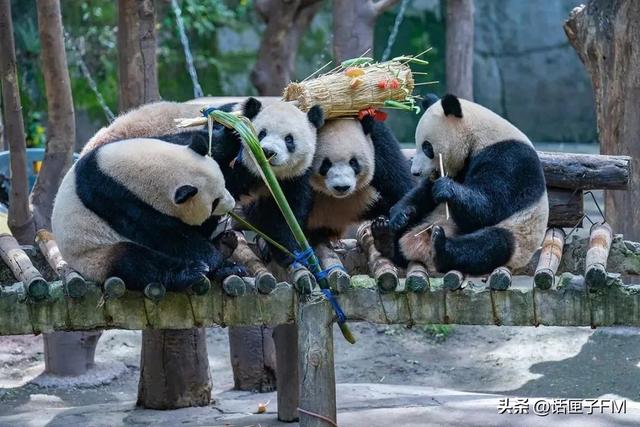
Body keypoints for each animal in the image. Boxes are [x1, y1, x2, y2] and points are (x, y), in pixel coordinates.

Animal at [51, 137, 242, 290]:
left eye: (224, 185)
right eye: (215, 201)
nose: (232, 203)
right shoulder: (112, 197)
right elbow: (168, 235)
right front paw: (220, 263)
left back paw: (225, 243)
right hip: (94, 256)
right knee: (134, 261)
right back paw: (193, 271)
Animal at [306, 115, 416, 249]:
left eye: (353, 162)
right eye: (325, 164)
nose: (342, 187)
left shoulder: (378, 144)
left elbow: (398, 181)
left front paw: (400, 218)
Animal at [376, 94, 552, 276]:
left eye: (426, 147)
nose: (415, 172)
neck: (478, 135)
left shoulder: (509, 159)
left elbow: (489, 208)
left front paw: (445, 188)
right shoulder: (459, 167)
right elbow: (424, 193)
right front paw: (399, 214)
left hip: (519, 237)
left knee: (489, 245)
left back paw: (441, 247)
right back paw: (385, 236)